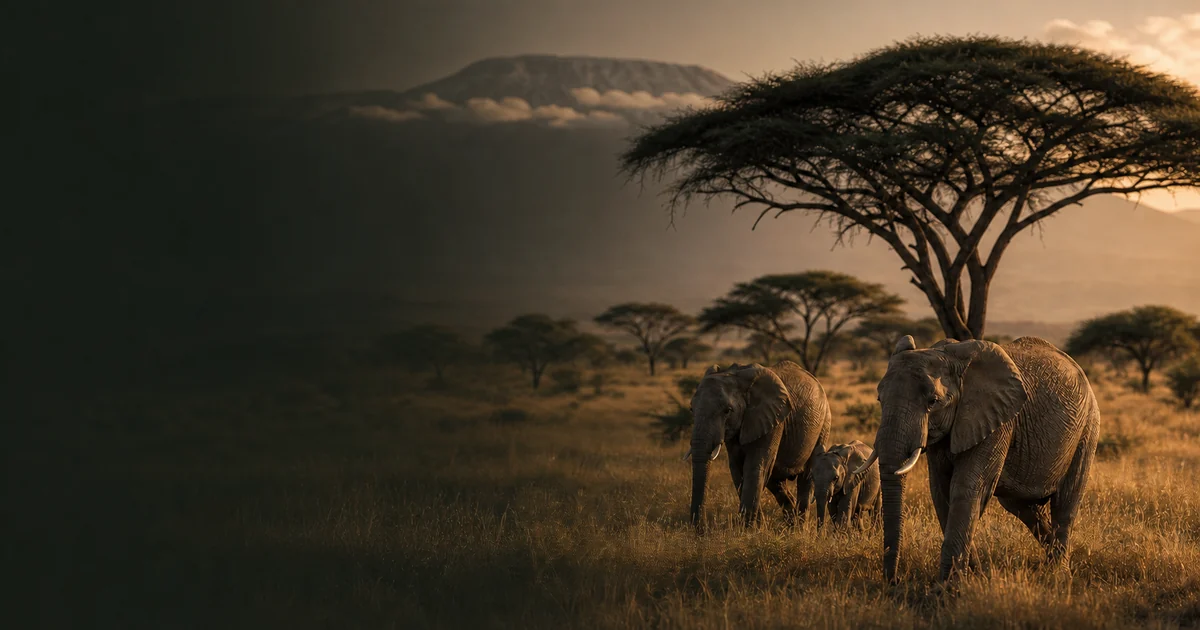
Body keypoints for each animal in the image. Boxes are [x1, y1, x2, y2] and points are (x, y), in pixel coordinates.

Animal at [684, 361, 831, 529]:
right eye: (691, 409)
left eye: (727, 411)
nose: (701, 529)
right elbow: (737, 470)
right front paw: (757, 528)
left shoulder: (773, 419)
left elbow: (754, 467)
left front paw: (747, 529)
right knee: (776, 481)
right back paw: (791, 524)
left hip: (824, 424)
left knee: (805, 477)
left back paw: (800, 529)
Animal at [852, 335, 1100, 583]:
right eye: (879, 398)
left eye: (933, 401)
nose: (895, 581)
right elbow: (941, 492)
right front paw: (978, 577)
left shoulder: (996, 420)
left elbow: (967, 489)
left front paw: (948, 588)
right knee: (1021, 507)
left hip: (1087, 427)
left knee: (1066, 501)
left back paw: (1059, 574)